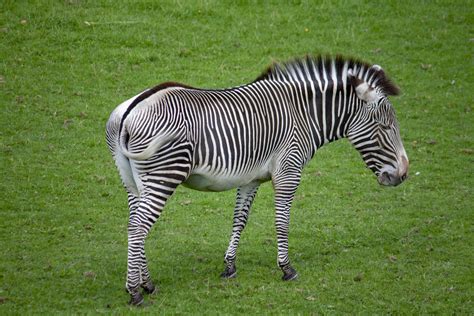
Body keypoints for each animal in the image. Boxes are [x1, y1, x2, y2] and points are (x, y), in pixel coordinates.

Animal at [105, 55, 410, 304]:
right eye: (385, 127)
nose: (404, 174)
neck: (304, 115)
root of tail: (131, 110)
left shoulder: (250, 178)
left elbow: (240, 219)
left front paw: (229, 266)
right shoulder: (289, 171)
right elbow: (282, 220)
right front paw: (286, 268)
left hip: (134, 182)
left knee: (135, 223)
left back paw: (147, 284)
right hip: (164, 174)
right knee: (138, 227)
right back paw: (134, 292)